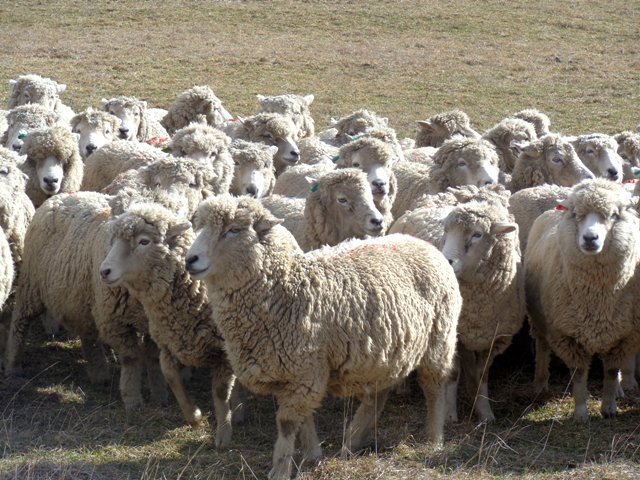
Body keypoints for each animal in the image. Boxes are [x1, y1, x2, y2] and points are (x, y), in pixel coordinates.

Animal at [99, 202, 239, 446]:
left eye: (144, 241)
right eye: (114, 241)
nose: (104, 271)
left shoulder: (224, 352)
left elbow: (221, 392)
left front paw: (223, 433)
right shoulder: (166, 344)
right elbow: (171, 378)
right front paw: (194, 416)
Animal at [184, 195, 460, 480]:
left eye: (233, 230)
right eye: (199, 226)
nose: (190, 259)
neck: (285, 287)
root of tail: (423, 244)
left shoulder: (304, 369)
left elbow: (287, 422)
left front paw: (280, 468)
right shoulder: (296, 372)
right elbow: (303, 418)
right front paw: (312, 454)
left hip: (439, 340)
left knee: (434, 387)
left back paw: (434, 439)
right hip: (386, 353)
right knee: (378, 395)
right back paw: (352, 441)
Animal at [524, 179, 640, 420]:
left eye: (614, 215)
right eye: (577, 214)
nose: (589, 238)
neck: (597, 297)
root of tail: (554, 209)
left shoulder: (622, 336)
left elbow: (611, 372)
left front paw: (609, 407)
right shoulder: (566, 335)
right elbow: (579, 375)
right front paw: (580, 413)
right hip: (538, 319)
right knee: (542, 346)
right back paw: (540, 383)